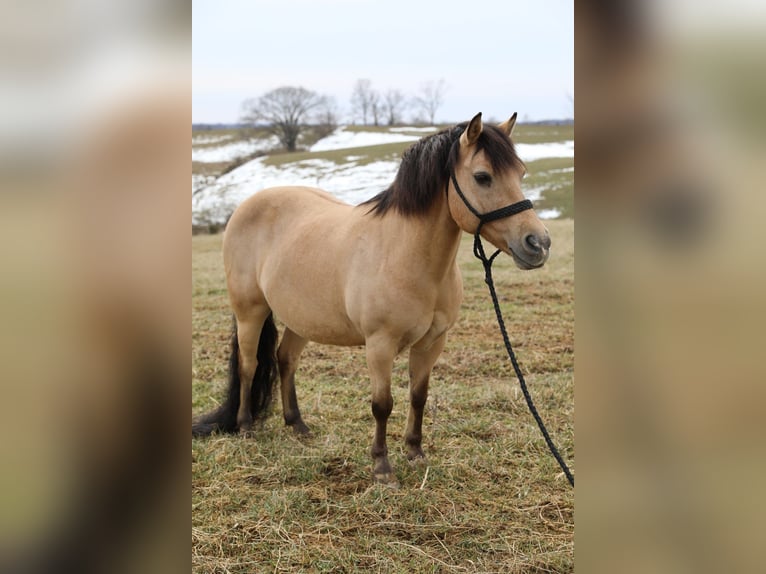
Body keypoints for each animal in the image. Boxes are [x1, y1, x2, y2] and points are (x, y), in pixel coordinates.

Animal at [192, 112, 551, 484]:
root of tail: (245, 207)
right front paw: (382, 466)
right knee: (249, 365)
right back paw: (246, 427)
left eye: (521, 173)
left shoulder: (432, 343)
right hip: (250, 312)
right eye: (482, 177)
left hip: (302, 319)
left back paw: (298, 426)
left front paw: (415, 452)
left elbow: (418, 396)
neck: (406, 253)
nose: (538, 243)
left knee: (285, 359)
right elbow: (382, 404)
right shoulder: (380, 344)